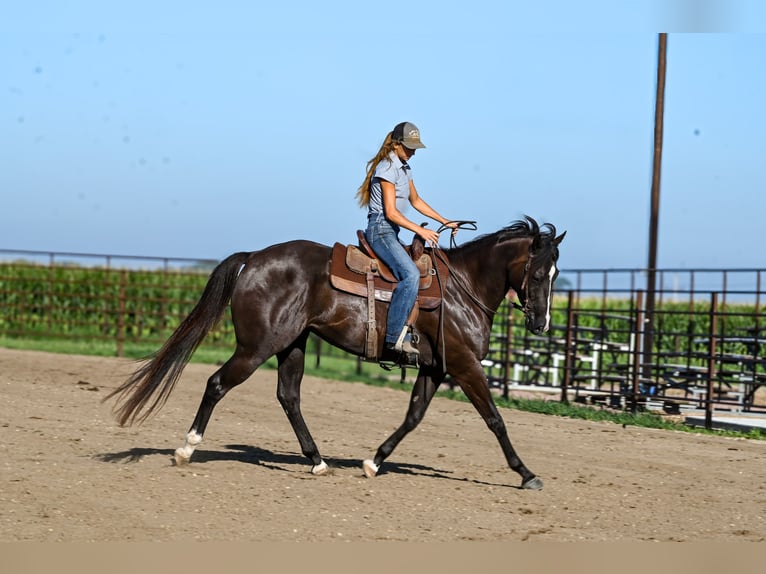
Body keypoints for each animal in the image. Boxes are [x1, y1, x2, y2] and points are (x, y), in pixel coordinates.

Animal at [105, 216, 565, 490]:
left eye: (557, 273)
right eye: (538, 273)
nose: (541, 323)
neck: (462, 289)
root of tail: (254, 258)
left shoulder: (435, 369)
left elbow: (413, 417)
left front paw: (375, 461)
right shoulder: (466, 367)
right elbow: (495, 419)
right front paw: (526, 473)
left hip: (291, 345)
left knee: (288, 396)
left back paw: (317, 461)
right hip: (257, 347)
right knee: (218, 383)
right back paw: (186, 449)